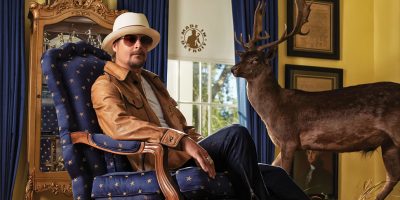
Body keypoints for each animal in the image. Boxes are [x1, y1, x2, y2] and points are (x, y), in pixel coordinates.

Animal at [231, 0, 400, 199]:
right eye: (243, 56)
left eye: (255, 60)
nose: (233, 69)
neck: (273, 110)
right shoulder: (285, 143)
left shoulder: (289, 139)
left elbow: (285, 173)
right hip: (388, 143)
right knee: (392, 178)